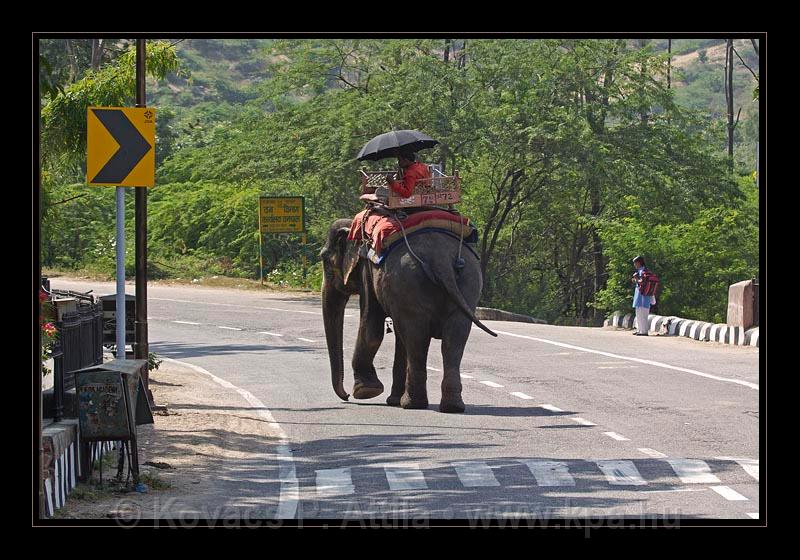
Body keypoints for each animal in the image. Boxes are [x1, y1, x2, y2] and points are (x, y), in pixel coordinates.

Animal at [318, 217, 494, 414]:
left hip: (409, 282)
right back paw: (451, 406)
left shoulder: (367, 271)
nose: (346, 396)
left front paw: (365, 391)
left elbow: (372, 327)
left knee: (417, 339)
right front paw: (390, 399)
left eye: (324, 258)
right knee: (452, 340)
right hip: (468, 283)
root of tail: (440, 258)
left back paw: (412, 404)